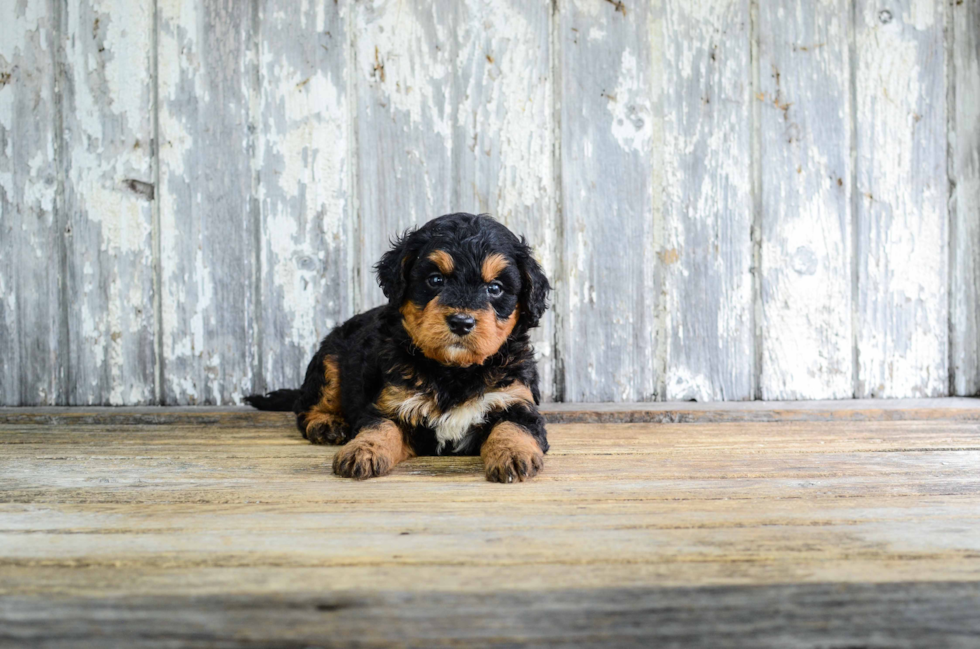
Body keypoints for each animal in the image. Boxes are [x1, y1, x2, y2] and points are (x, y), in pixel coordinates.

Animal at [245, 213, 552, 480]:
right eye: (435, 280)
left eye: (496, 288)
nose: (461, 322)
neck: (454, 372)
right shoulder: (391, 401)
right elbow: (380, 426)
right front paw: (362, 451)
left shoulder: (515, 399)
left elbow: (513, 427)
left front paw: (513, 454)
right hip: (329, 361)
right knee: (306, 405)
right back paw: (326, 424)